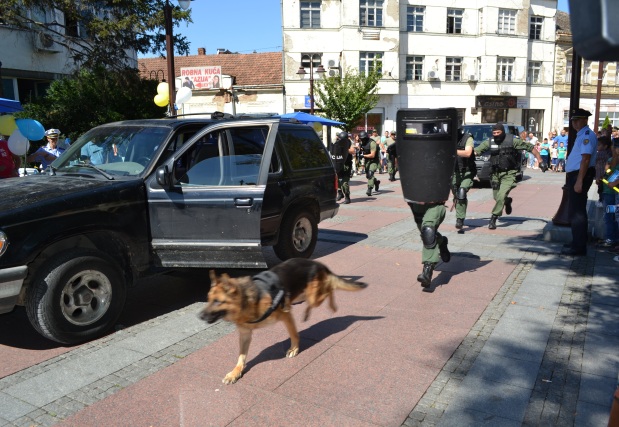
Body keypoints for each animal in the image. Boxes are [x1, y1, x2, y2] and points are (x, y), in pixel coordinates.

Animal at [199, 260, 366, 386]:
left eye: (218, 301)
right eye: (208, 299)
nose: (199, 316)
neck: (248, 301)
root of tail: (316, 263)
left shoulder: (286, 315)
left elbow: (294, 334)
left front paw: (294, 349)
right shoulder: (245, 334)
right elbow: (241, 357)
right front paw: (235, 373)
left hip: (313, 296)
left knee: (329, 288)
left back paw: (332, 306)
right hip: (303, 296)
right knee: (321, 293)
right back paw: (307, 313)